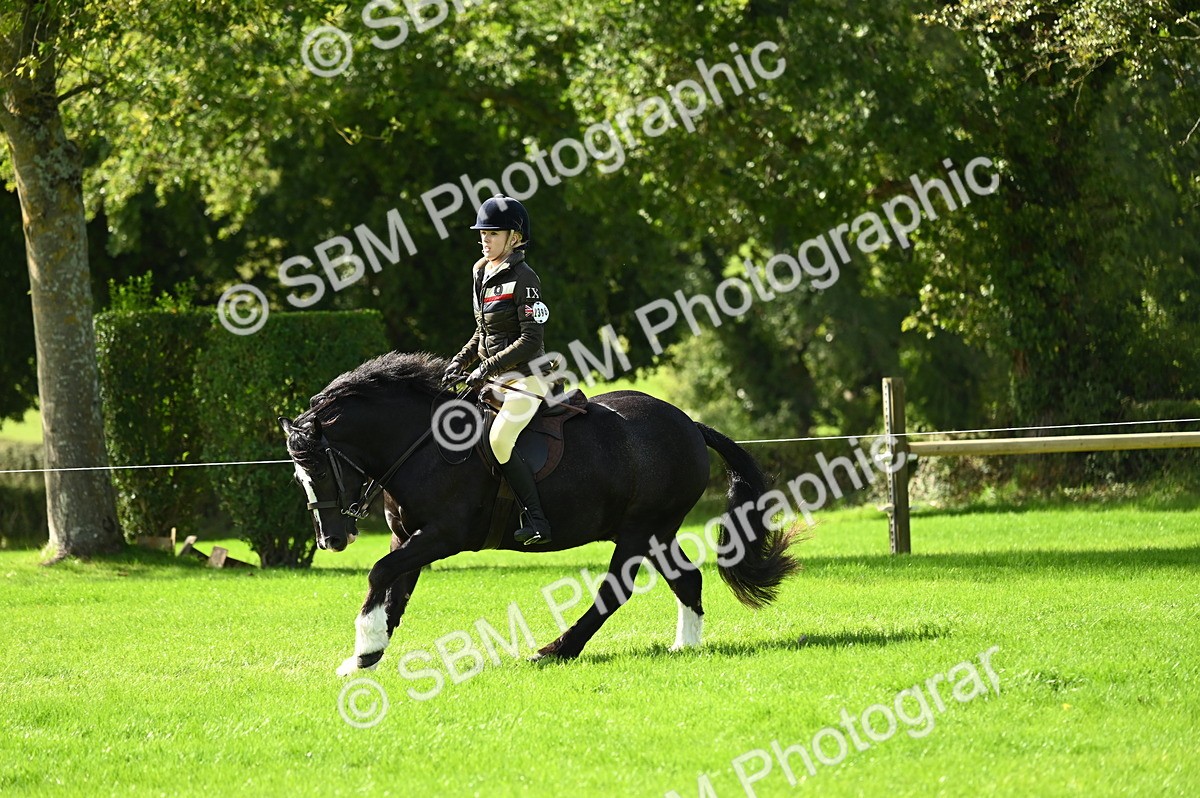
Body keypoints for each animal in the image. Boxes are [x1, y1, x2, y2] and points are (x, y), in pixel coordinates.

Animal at [279, 351, 799, 675]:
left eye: (320, 469)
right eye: (300, 477)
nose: (331, 540)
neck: (423, 443)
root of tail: (688, 423)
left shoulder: (443, 535)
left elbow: (380, 573)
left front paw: (364, 649)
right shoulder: (407, 537)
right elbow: (395, 592)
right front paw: (366, 656)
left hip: (636, 532)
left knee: (615, 590)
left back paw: (556, 651)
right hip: (657, 531)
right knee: (686, 580)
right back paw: (684, 646)